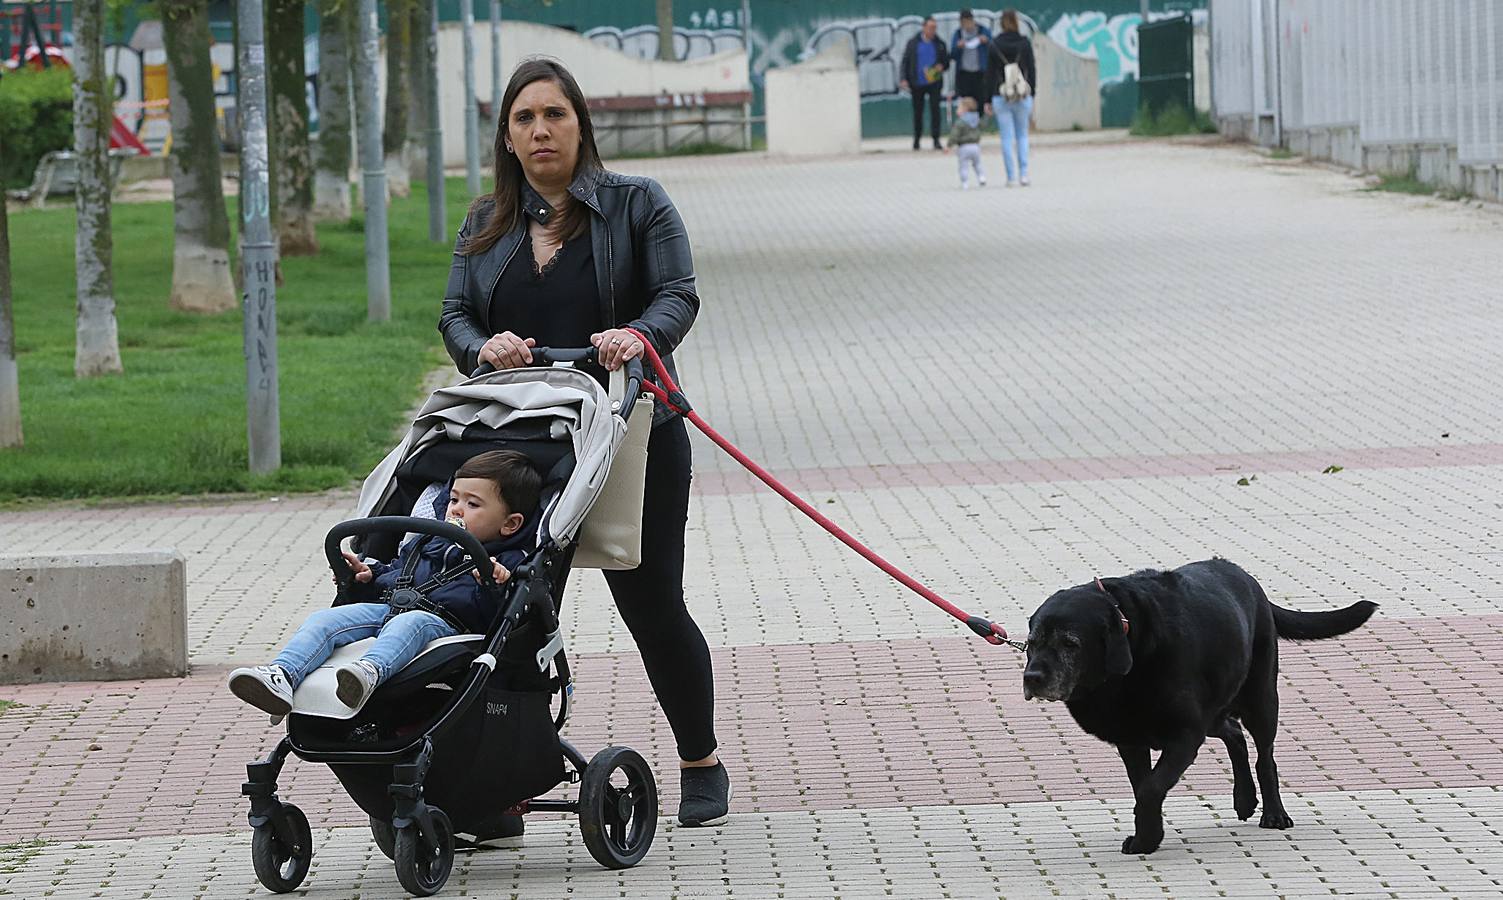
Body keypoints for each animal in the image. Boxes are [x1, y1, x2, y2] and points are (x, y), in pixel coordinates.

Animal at [1022, 558, 1376, 853]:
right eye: (1032, 642)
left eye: (1070, 643)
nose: (1032, 677)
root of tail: (1246, 577)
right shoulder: (1132, 739)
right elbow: (1142, 786)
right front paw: (1147, 836)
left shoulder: (1185, 734)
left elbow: (1150, 788)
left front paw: (1147, 838)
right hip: (1215, 707)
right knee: (1234, 734)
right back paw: (1244, 799)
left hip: (1261, 699)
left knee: (1265, 757)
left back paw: (1274, 813)